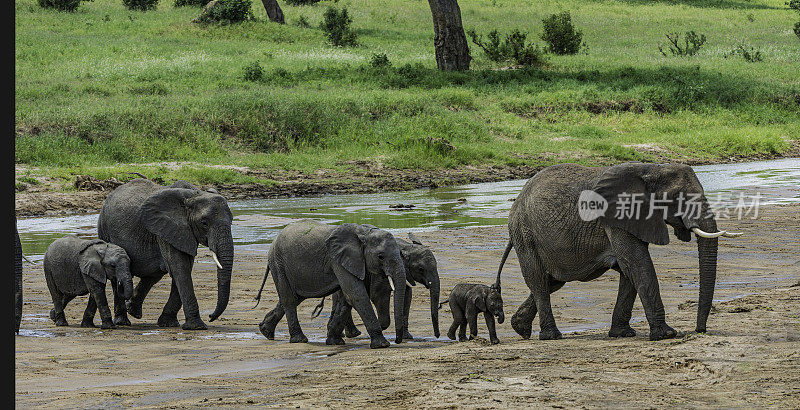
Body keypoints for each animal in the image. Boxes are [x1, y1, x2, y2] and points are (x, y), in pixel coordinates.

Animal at [97, 179, 234, 330]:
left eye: (232, 220)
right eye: (204, 223)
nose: (210, 316)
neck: (193, 195)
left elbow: (183, 269)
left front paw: (168, 323)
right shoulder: (165, 229)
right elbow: (180, 268)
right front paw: (197, 327)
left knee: (153, 275)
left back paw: (133, 311)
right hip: (104, 229)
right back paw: (123, 321)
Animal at [255, 221, 410, 350]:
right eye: (380, 256)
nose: (398, 341)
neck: (364, 232)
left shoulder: (357, 261)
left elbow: (347, 299)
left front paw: (334, 341)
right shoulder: (338, 259)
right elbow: (356, 295)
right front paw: (382, 345)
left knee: (294, 298)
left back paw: (266, 331)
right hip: (278, 264)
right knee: (289, 299)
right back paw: (299, 339)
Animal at [496, 162, 748, 342]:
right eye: (677, 198)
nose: (700, 331)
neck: (651, 169)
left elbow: (629, 270)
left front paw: (622, 334)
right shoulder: (616, 218)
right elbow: (637, 264)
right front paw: (666, 334)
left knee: (553, 281)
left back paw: (520, 328)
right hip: (525, 235)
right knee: (539, 280)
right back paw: (551, 336)